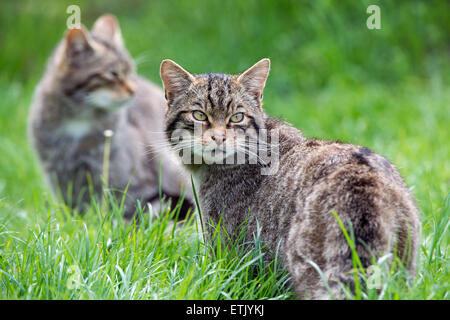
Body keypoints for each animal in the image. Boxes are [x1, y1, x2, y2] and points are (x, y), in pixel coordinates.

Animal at [27, 15, 193, 220]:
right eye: (113, 73)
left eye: (130, 72)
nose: (133, 90)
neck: (79, 120)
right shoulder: (60, 174)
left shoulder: (122, 176)